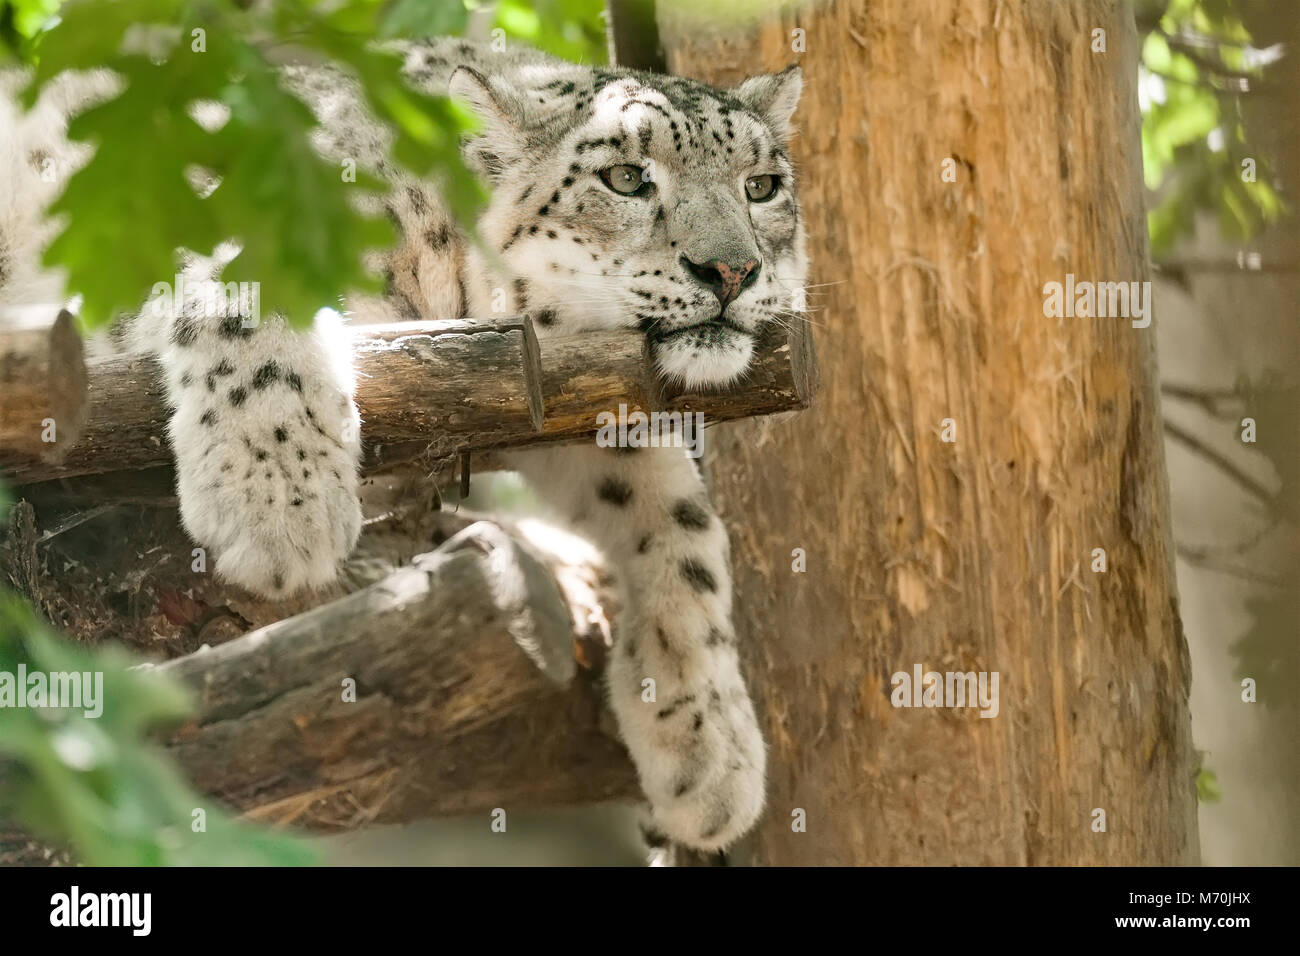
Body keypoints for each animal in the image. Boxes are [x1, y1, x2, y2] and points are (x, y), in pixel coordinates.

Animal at [0, 37, 808, 854]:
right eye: (625, 178)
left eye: (762, 186)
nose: (733, 270)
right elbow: (252, 298)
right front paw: (280, 506)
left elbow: (680, 519)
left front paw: (713, 748)